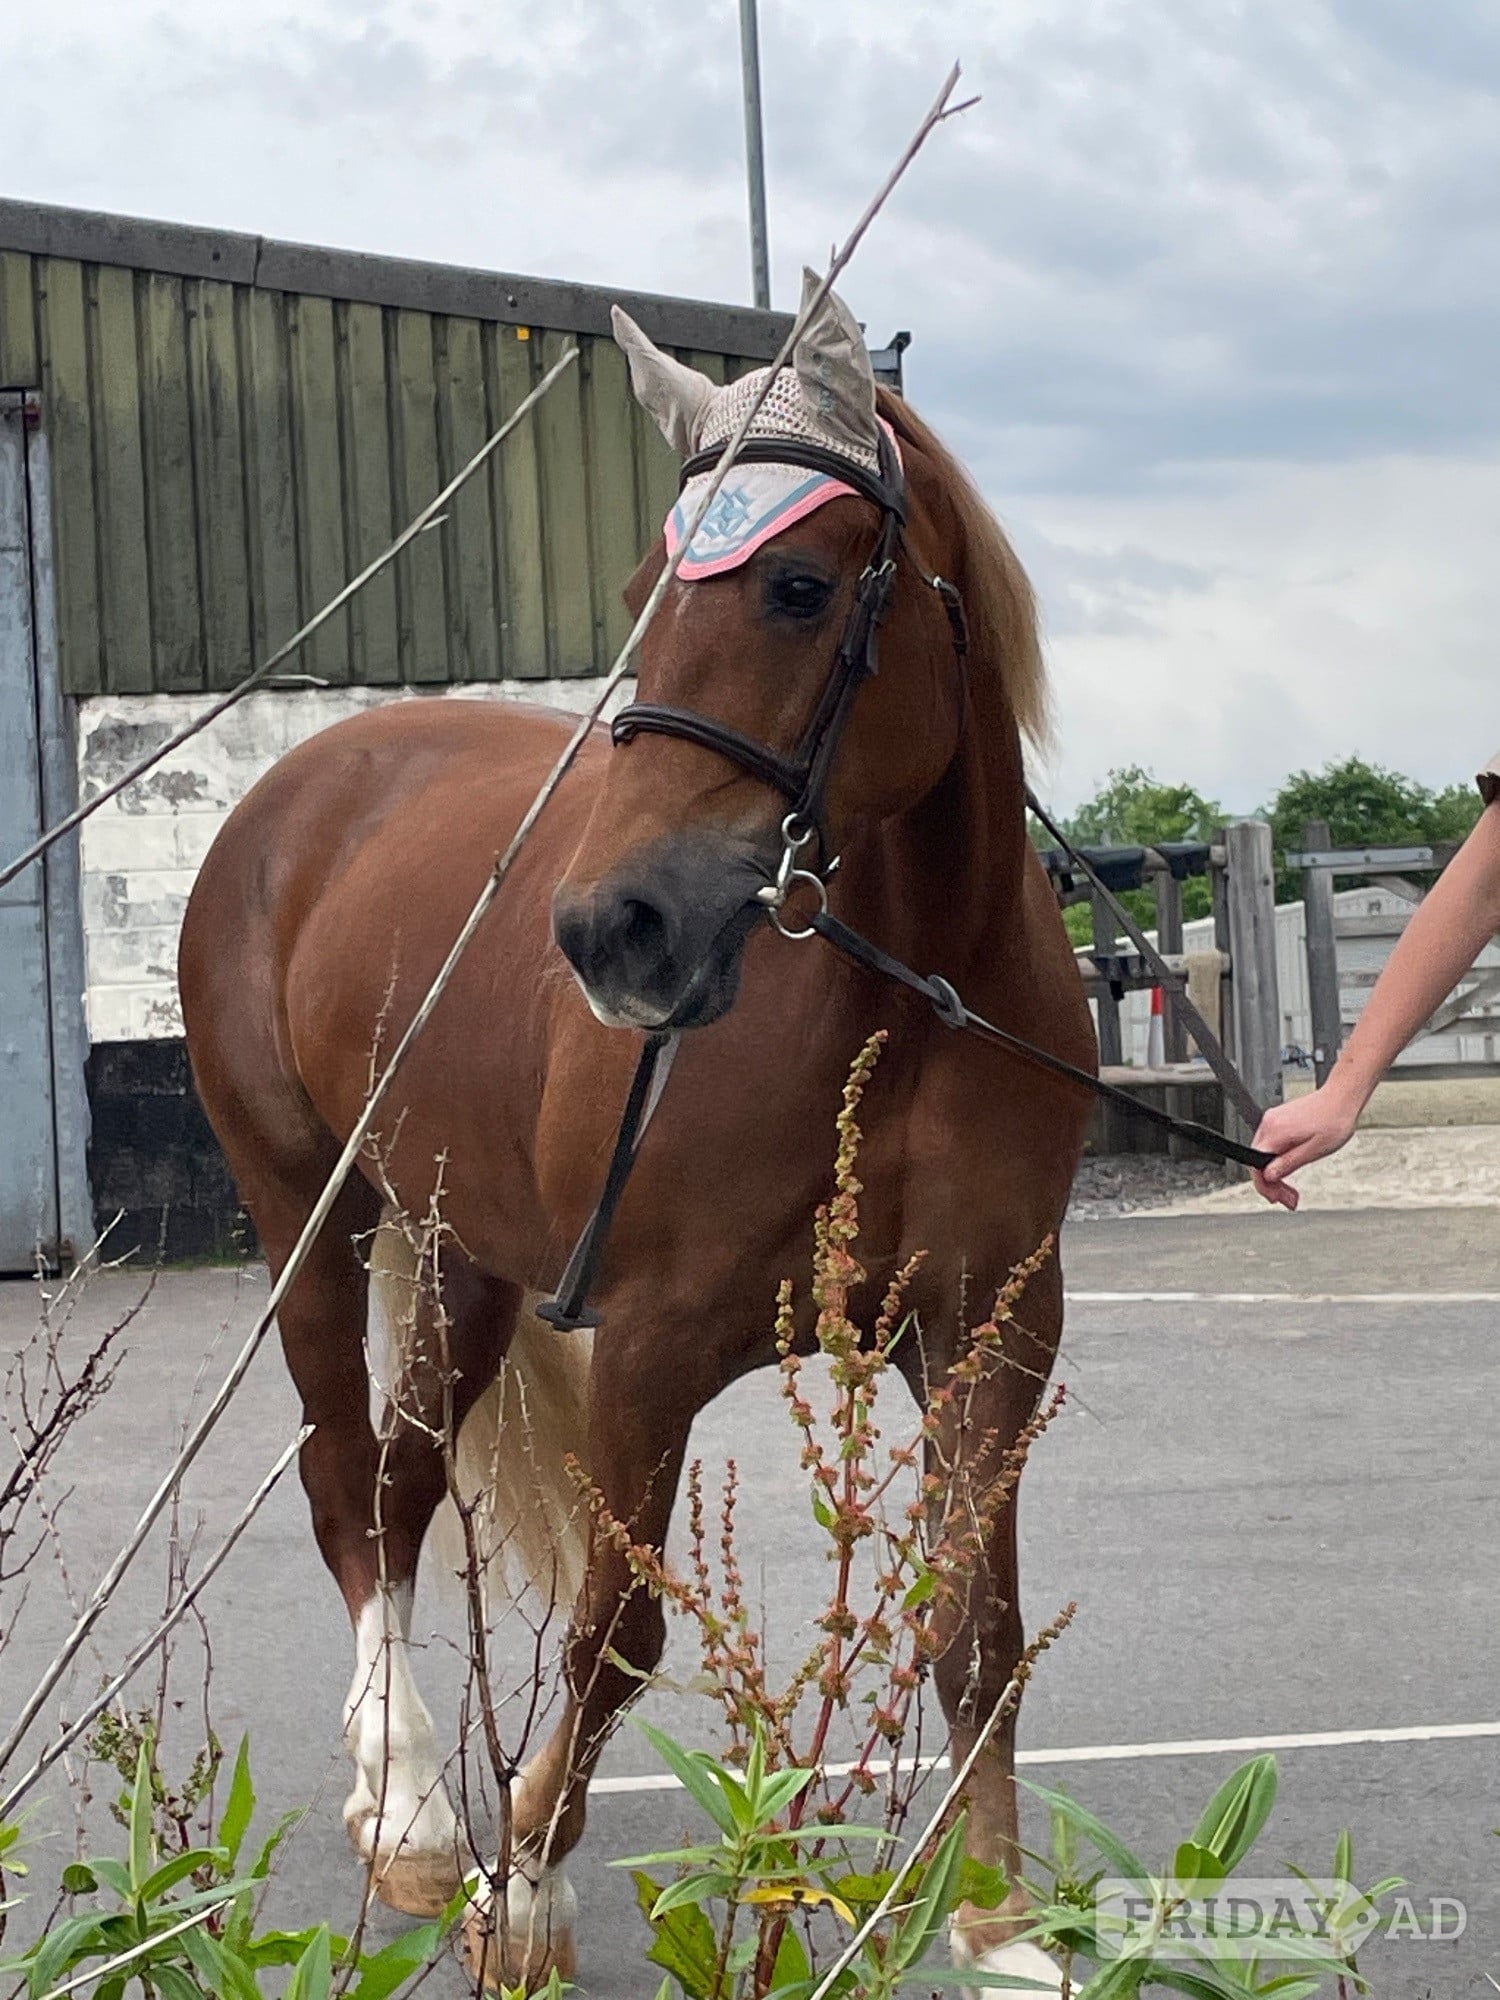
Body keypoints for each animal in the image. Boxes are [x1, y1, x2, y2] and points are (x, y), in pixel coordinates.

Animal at [178, 271, 1096, 1994]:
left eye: (798, 586)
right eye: (640, 593)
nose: (613, 930)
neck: (910, 991)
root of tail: (302, 784)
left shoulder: (995, 1326)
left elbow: (977, 1626)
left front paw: (1006, 1928)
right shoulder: (653, 1345)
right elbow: (619, 1629)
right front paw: (518, 1895)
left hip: (462, 1257)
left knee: (402, 1486)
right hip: (306, 1216)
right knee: (344, 1484)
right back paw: (413, 1812)